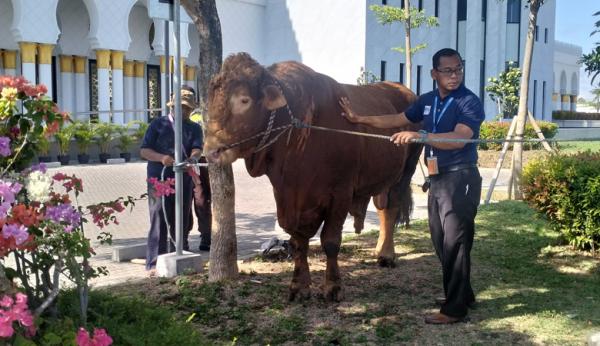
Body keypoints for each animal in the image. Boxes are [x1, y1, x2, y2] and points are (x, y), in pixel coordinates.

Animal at [206, 52, 422, 302]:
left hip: (405, 171)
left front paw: (333, 286)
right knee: (381, 207)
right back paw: (379, 249)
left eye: (244, 100)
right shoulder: (285, 196)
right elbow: (298, 242)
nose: (211, 150)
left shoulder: (340, 194)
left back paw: (387, 255)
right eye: (210, 100)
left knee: (391, 208)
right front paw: (299, 286)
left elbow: (330, 241)